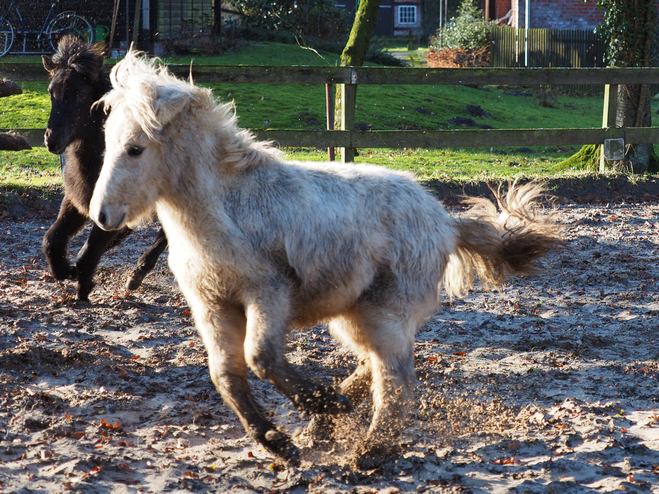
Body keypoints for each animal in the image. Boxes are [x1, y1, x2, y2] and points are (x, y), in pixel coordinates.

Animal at [42, 35, 168, 302]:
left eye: (80, 94)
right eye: (51, 92)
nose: (51, 139)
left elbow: (88, 252)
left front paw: (83, 286)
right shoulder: (76, 201)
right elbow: (51, 241)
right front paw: (66, 270)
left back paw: (136, 275)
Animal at [89, 53, 564, 466]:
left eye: (135, 149)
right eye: (107, 143)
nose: (101, 215)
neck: (226, 208)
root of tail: (445, 221)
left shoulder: (268, 293)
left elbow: (261, 357)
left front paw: (318, 408)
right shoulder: (213, 304)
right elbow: (226, 375)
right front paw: (280, 442)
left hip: (386, 310)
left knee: (396, 380)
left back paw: (368, 448)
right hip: (353, 313)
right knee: (372, 363)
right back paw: (326, 423)